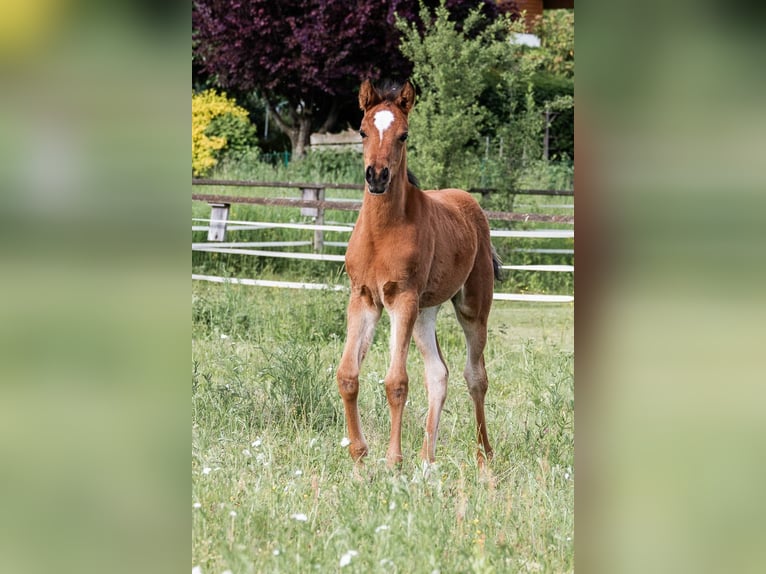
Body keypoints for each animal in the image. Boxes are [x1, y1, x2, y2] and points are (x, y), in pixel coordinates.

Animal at [336, 79, 501, 469]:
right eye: (362, 131)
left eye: (404, 135)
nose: (377, 176)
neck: (381, 232)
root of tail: (471, 204)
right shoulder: (364, 297)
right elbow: (348, 375)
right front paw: (359, 459)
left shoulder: (402, 299)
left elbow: (396, 381)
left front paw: (393, 462)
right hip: (426, 311)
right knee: (438, 374)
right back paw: (427, 462)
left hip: (471, 307)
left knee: (476, 376)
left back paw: (483, 457)